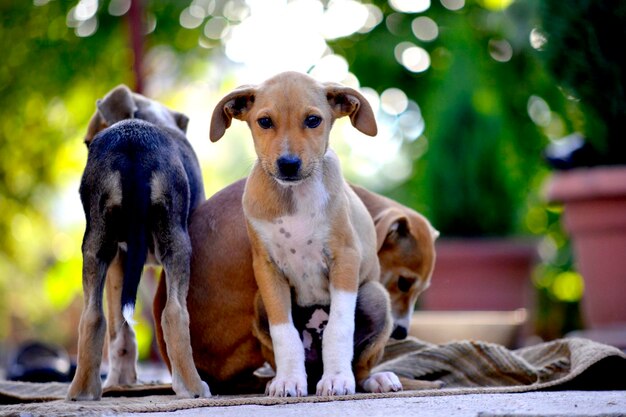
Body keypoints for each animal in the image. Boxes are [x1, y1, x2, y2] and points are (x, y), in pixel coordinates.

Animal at [66, 85, 210, 400]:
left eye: (87, 143)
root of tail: (133, 143)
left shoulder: (120, 260)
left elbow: (119, 328)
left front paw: (121, 381)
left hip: (96, 244)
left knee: (92, 316)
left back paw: (84, 390)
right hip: (177, 244)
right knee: (174, 313)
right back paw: (192, 387)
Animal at [210, 72, 394, 396]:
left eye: (312, 120)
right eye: (265, 121)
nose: (288, 164)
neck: (293, 197)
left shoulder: (345, 258)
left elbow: (339, 328)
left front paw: (336, 378)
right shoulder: (267, 269)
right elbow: (284, 334)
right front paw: (288, 380)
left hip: (375, 296)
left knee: (361, 367)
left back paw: (375, 379)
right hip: (259, 304)